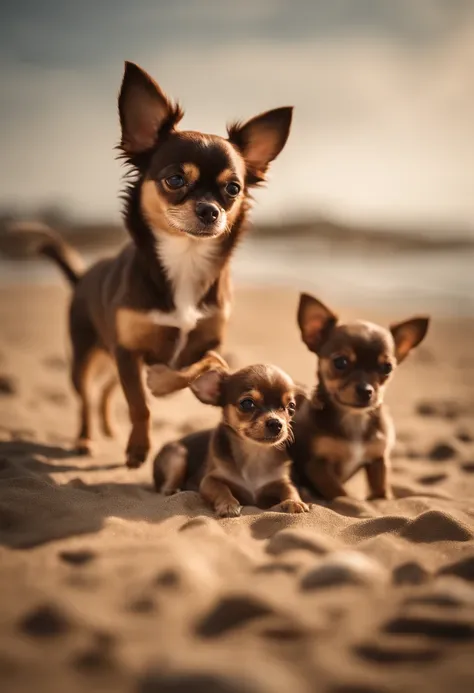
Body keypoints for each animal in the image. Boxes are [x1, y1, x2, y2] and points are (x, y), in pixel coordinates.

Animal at [18, 63, 292, 464]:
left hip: (111, 358)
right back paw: (86, 438)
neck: (185, 260)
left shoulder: (204, 344)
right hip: (86, 357)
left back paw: (109, 428)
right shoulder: (128, 350)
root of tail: (81, 276)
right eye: (175, 179)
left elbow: (206, 365)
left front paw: (162, 383)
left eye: (233, 189)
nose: (210, 211)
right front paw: (138, 448)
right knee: (86, 397)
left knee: (105, 391)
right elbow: (139, 405)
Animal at [150, 364, 310, 516]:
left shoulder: (282, 481)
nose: (276, 423)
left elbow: (290, 489)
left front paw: (294, 502)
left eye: (291, 407)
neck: (255, 452)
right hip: (178, 454)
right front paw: (228, 504)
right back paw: (172, 490)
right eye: (247, 403)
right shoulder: (209, 481)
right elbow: (222, 489)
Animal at [290, 294, 432, 500]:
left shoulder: (378, 459)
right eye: (340, 362)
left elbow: (381, 492)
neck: (354, 418)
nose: (366, 391)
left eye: (387, 367)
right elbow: (342, 494)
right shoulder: (317, 466)